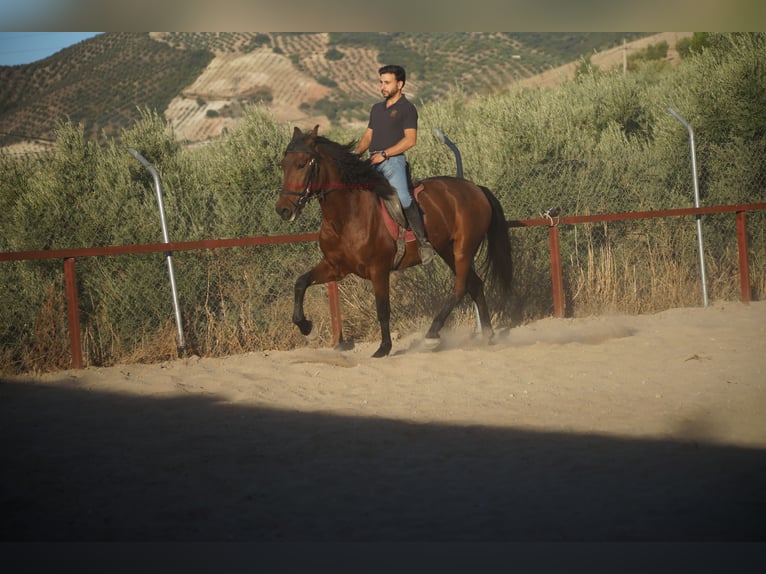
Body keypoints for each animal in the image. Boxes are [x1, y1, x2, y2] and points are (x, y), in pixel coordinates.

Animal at [276, 125, 513, 358]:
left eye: (301, 164)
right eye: (283, 165)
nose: (283, 210)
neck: (347, 215)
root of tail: (476, 189)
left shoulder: (378, 269)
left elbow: (382, 308)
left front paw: (384, 348)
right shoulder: (335, 267)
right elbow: (300, 283)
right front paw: (308, 329)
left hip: (463, 248)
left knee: (461, 287)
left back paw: (432, 334)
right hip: (447, 250)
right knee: (475, 284)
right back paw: (488, 335)